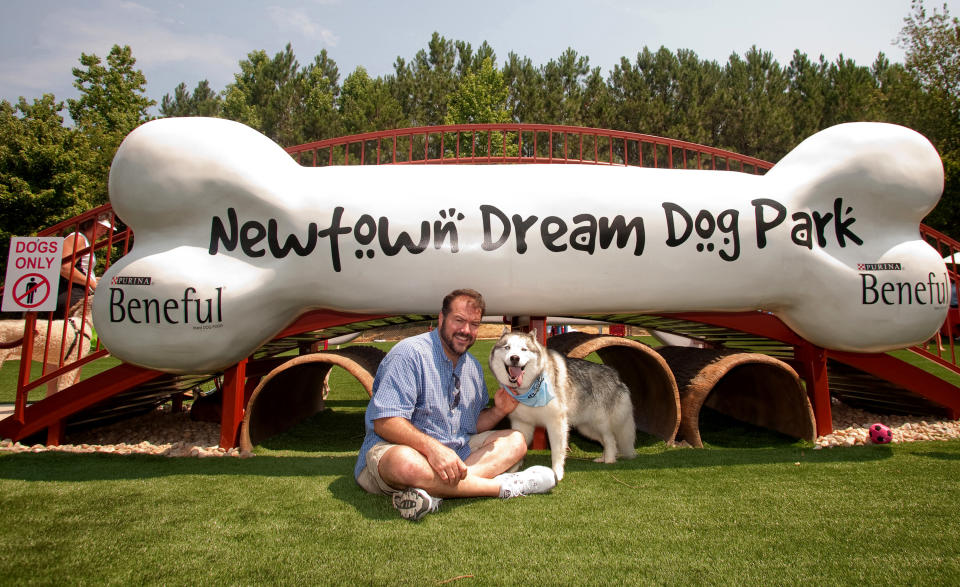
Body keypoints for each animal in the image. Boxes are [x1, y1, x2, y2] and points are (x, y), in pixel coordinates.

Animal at [488, 330, 636, 482]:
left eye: (524, 349)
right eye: (507, 347)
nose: (514, 358)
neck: (528, 390)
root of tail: (615, 376)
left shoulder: (556, 424)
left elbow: (557, 452)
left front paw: (557, 473)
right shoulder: (522, 424)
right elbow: (518, 449)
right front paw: (511, 471)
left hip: (600, 423)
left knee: (610, 440)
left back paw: (610, 460)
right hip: (587, 429)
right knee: (606, 442)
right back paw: (604, 458)